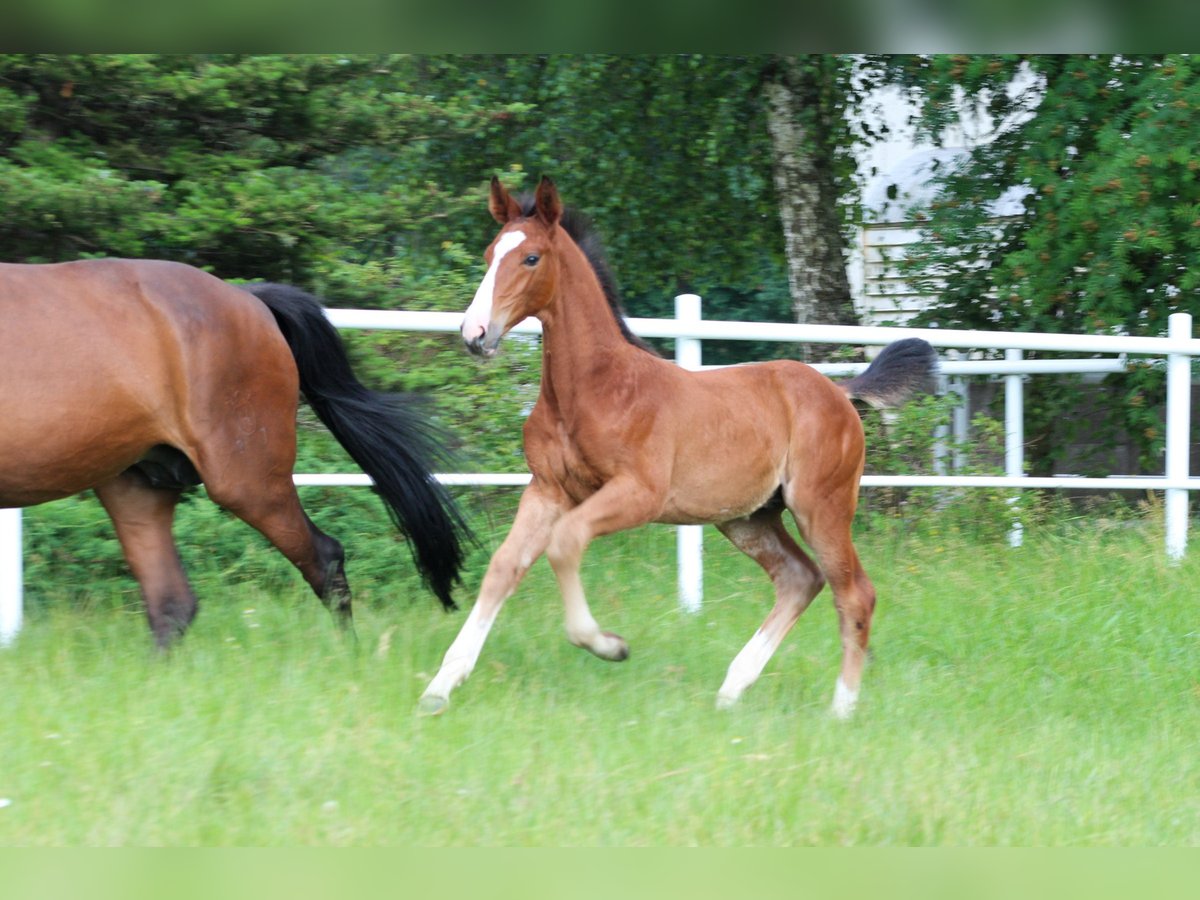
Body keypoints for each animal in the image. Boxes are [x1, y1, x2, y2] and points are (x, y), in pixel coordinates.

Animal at [0, 260, 468, 648]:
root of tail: (248, 299)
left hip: (247, 480)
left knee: (325, 558)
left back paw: (349, 657)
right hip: (138, 486)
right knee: (172, 603)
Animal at [422, 180, 936, 724]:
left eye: (531, 258)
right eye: (488, 255)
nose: (475, 334)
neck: (592, 389)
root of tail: (840, 391)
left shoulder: (639, 494)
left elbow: (565, 542)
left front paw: (608, 645)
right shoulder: (547, 490)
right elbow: (503, 568)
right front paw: (441, 685)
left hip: (821, 506)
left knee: (854, 594)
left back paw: (840, 709)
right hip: (748, 518)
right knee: (800, 579)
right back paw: (732, 690)